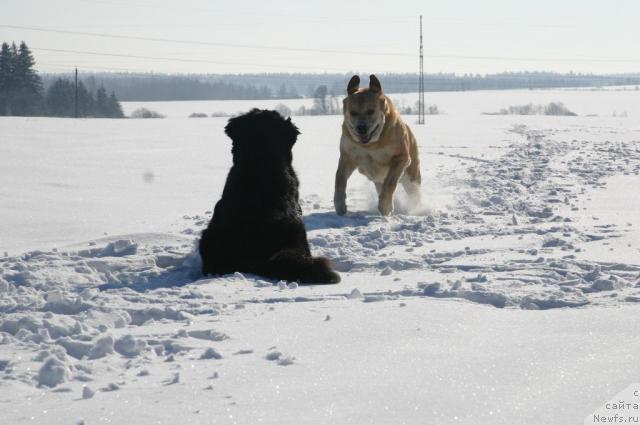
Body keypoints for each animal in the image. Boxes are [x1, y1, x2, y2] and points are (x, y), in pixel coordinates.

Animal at [332, 73, 422, 215]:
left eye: (371, 111)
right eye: (353, 112)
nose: (361, 128)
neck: (371, 144)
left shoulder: (400, 157)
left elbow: (390, 182)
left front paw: (385, 206)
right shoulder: (348, 156)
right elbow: (339, 180)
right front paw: (340, 205)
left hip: (411, 175)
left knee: (412, 190)